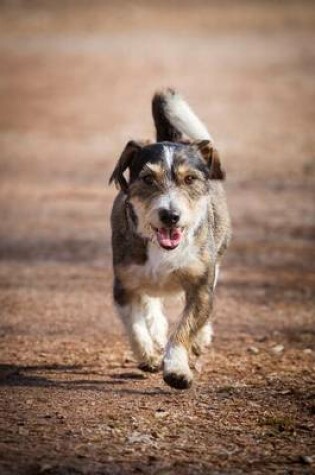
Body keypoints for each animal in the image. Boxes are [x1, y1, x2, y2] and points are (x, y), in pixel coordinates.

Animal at [110, 89, 231, 390]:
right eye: (147, 178)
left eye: (189, 179)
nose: (170, 215)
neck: (161, 249)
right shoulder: (123, 284)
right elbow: (134, 324)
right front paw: (147, 355)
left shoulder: (200, 288)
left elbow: (184, 329)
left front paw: (176, 368)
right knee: (151, 302)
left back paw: (200, 338)